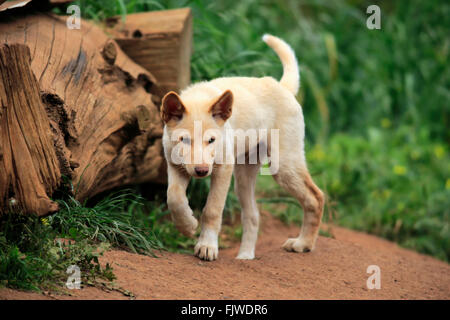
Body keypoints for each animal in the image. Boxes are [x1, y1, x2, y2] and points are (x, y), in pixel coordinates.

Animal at [161, 34, 324, 260]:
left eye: (211, 140)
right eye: (184, 140)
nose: (202, 171)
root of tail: (281, 86)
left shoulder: (223, 168)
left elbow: (212, 210)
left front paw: (207, 246)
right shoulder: (176, 166)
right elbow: (174, 197)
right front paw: (187, 225)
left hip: (284, 167)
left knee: (315, 197)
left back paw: (303, 243)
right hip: (244, 178)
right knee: (253, 215)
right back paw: (245, 257)